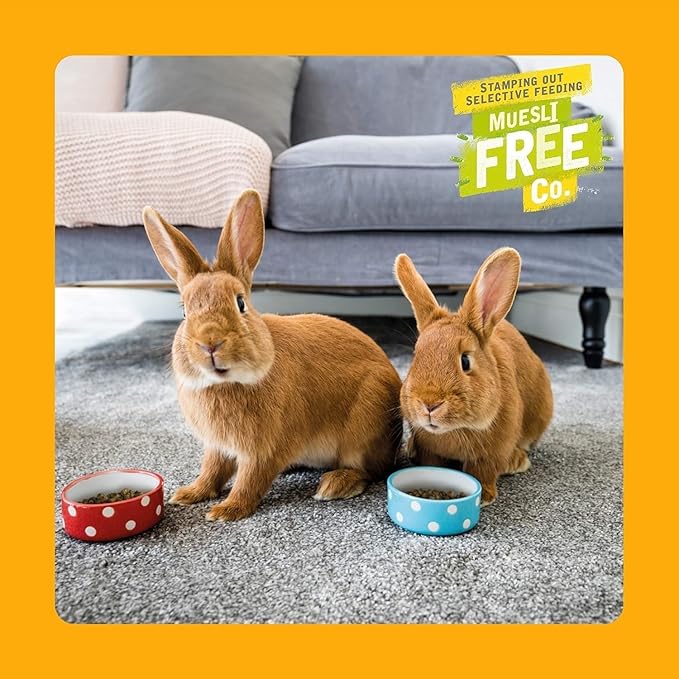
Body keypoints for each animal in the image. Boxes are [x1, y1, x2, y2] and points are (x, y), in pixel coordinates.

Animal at [142, 189, 402, 522]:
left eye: (240, 303)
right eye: (184, 312)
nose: (210, 344)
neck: (226, 383)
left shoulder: (265, 449)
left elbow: (250, 480)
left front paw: (226, 511)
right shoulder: (217, 447)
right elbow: (211, 471)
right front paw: (189, 494)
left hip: (363, 431)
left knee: (371, 469)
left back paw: (335, 484)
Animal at [394, 247, 553, 506]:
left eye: (465, 361)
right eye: (415, 355)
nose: (429, 404)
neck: (455, 430)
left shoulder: (492, 453)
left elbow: (483, 471)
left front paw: (486, 497)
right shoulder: (429, 448)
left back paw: (517, 462)